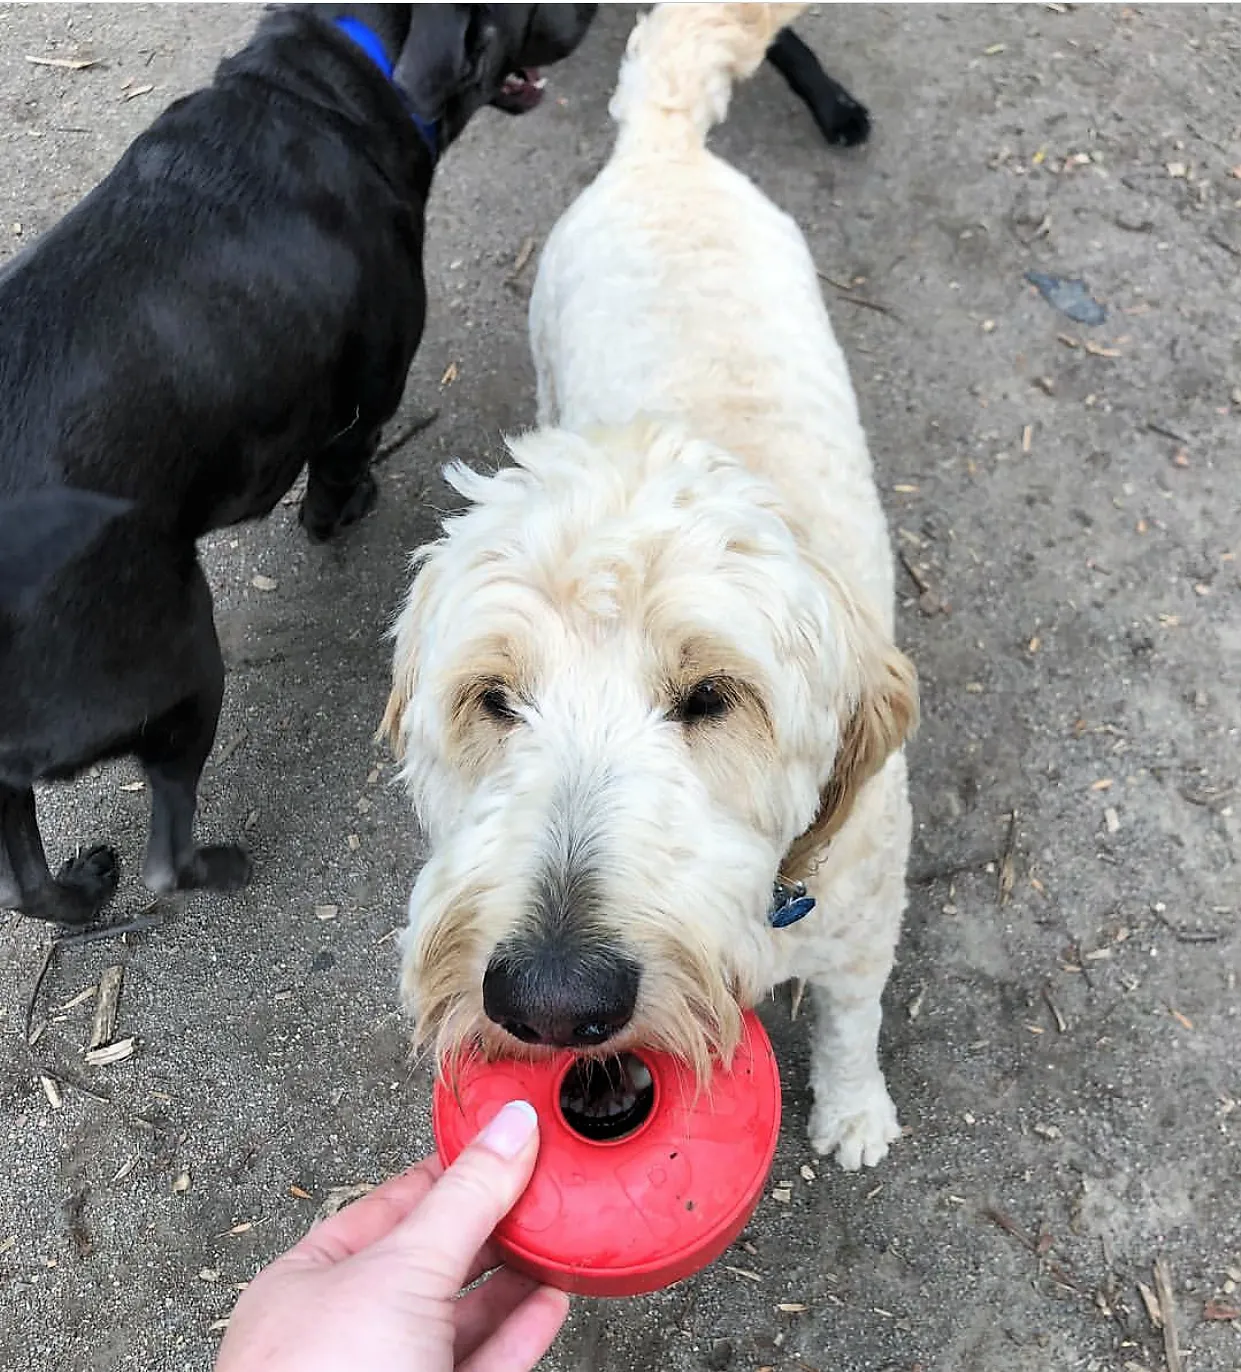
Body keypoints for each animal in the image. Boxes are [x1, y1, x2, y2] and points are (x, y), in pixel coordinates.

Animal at [0, 5, 595, 927]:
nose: (596, 14)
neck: (332, 80)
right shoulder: (366, 399)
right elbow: (335, 476)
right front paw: (345, 511)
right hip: (183, 661)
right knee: (166, 859)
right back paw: (219, 866)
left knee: (23, 883)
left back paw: (80, 888)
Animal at [381, 5, 916, 1174]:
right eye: (494, 699)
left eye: (712, 696)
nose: (548, 1002)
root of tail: (663, 139)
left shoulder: (864, 924)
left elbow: (855, 1021)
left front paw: (855, 1113)